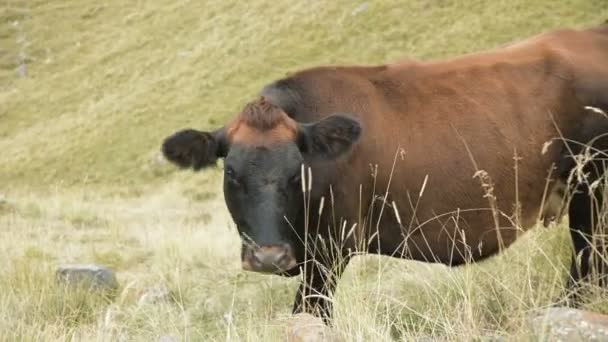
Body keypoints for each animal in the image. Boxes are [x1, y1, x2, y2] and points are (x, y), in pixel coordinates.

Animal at [162, 24, 608, 324]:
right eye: (231, 172)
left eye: (296, 173)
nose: (269, 257)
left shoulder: (330, 249)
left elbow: (311, 312)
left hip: (592, 192)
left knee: (589, 267)